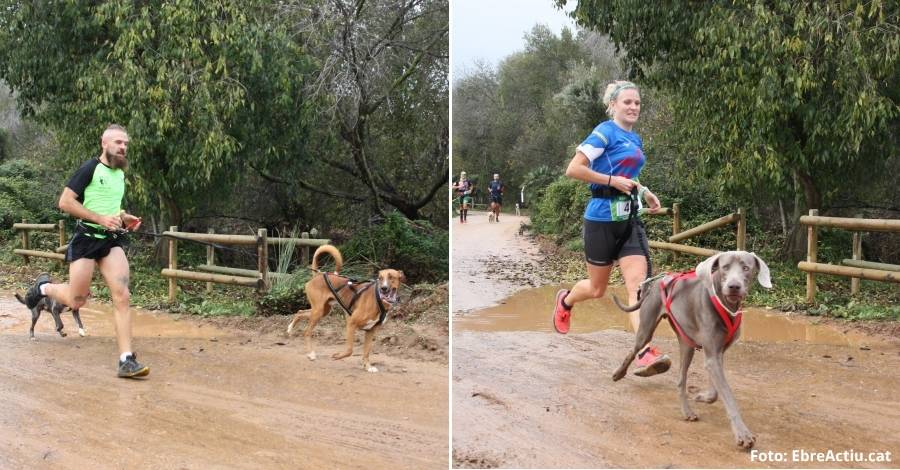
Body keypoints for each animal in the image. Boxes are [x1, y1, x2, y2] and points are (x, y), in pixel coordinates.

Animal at [616, 252, 768, 450]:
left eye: (746, 268)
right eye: (725, 267)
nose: (734, 287)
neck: (726, 304)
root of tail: (657, 281)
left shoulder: (717, 353)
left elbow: (717, 390)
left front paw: (704, 397)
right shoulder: (712, 355)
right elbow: (728, 396)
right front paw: (743, 434)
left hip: (686, 343)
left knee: (681, 379)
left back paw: (687, 411)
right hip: (646, 330)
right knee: (634, 349)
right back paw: (618, 373)